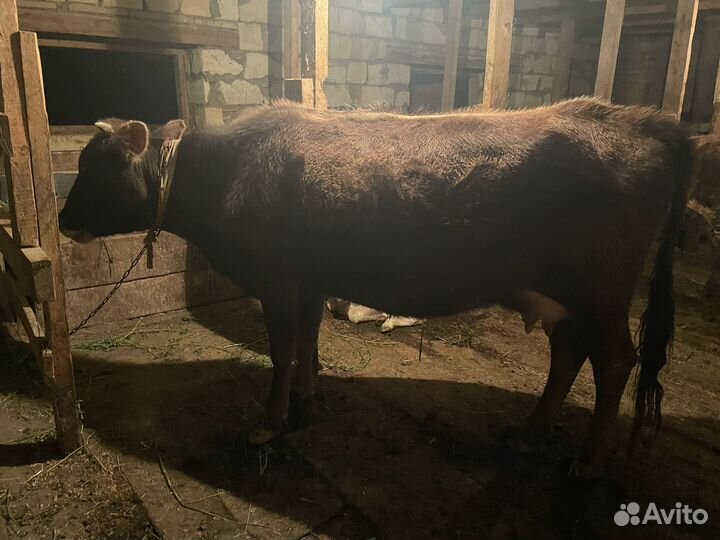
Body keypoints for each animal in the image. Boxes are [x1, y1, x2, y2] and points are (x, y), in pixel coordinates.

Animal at [59, 98, 693, 475]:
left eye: (96, 167)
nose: (63, 220)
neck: (228, 170)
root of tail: (637, 118)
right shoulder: (309, 280)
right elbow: (309, 342)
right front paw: (308, 399)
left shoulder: (277, 279)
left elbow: (283, 351)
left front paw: (269, 422)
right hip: (563, 297)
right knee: (568, 356)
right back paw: (529, 434)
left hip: (603, 290)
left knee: (614, 361)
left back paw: (589, 461)